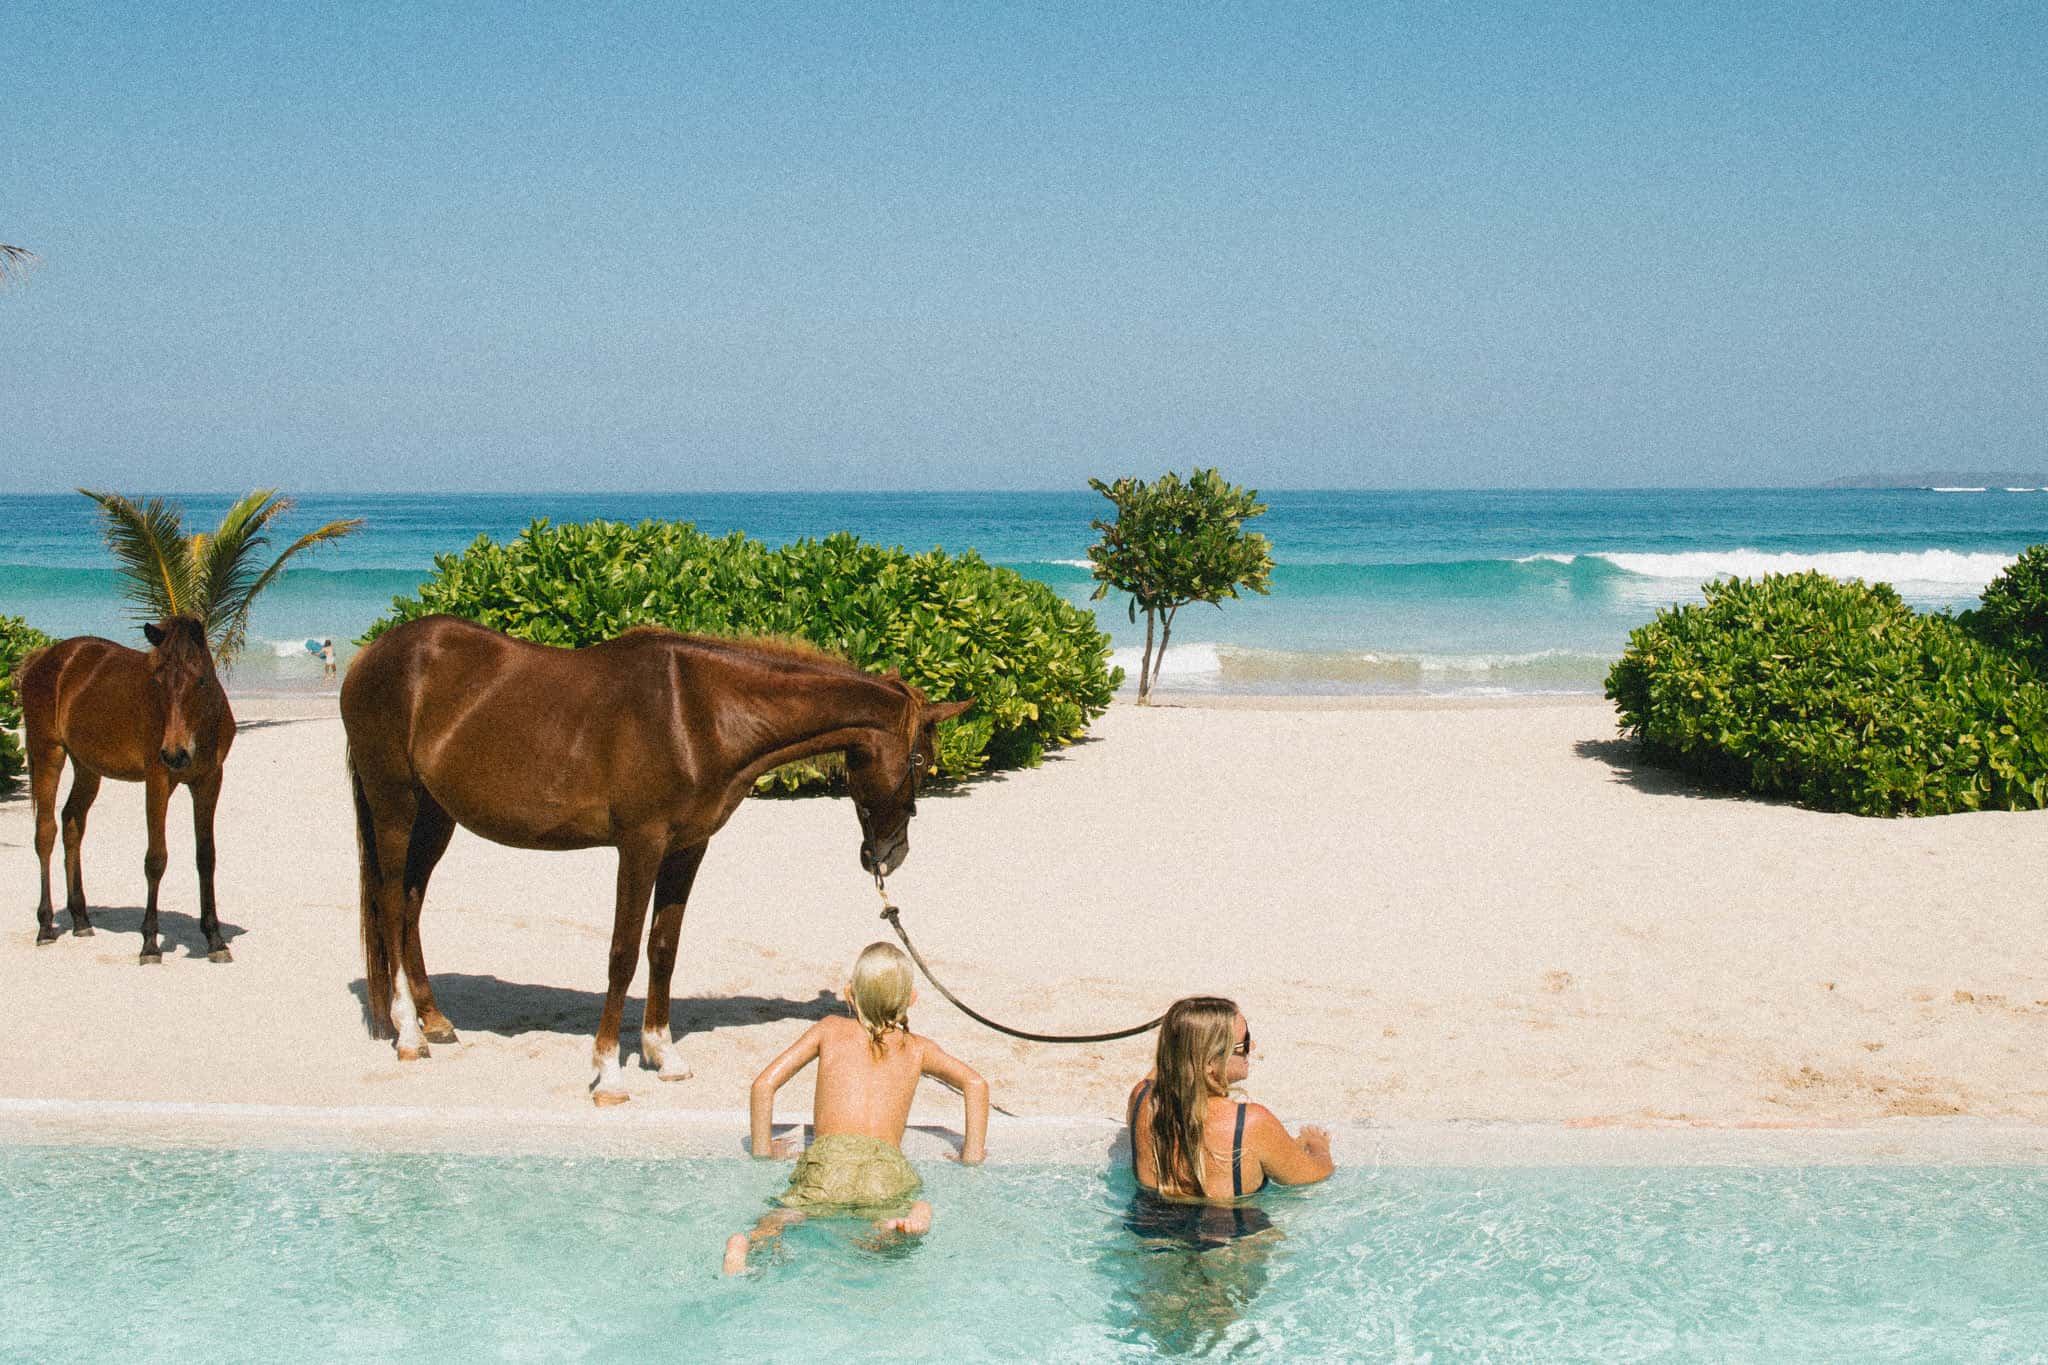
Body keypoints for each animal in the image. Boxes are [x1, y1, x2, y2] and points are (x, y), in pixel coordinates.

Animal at [18, 615, 238, 963]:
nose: (175, 754)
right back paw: (45, 926)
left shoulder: (209, 782)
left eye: (201, 680)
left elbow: (206, 857)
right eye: (157, 682)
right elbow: (156, 859)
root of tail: (44, 658)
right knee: (45, 833)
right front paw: (149, 943)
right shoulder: (158, 781)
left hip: (87, 768)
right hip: (47, 753)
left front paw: (215, 940)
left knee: (72, 823)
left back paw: (81, 919)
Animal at [339, 614, 971, 1106]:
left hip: (436, 816)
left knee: (411, 907)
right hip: (395, 807)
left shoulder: (687, 848)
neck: (699, 714)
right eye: (920, 760)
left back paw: (436, 1021)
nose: (890, 854)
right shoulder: (640, 846)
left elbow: (663, 948)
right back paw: (408, 1035)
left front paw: (663, 1055)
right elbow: (622, 954)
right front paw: (608, 1071)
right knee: (392, 902)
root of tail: (373, 654)